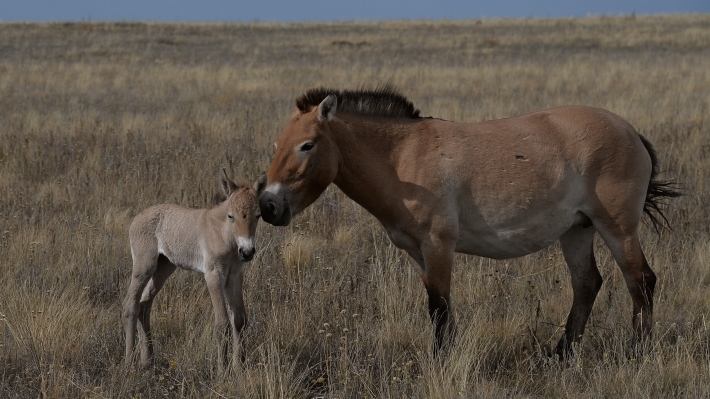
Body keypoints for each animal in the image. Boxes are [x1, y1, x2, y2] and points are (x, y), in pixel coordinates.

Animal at [122, 170, 268, 370]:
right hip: (144, 266)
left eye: (258, 215)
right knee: (131, 304)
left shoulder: (235, 275)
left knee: (144, 303)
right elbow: (222, 324)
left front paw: (239, 367)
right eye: (231, 216)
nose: (246, 252)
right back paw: (129, 363)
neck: (223, 234)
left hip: (164, 267)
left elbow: (239, 320)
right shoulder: (213, 274)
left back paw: (148, 360)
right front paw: (222, 370)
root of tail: (137, 217)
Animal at [258, 86, 680, 358]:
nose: (268, 206)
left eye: (307, 145)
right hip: (578, 230)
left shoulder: (438, 244)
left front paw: (440, 361)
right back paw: (559, 356)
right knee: (587, 285)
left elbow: (439, 306)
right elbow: (439, 305)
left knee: (641, 282)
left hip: (618, 229)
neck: (401, 158)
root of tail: (631, 131)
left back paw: (637, 354)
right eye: (276, 145)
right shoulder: (417, 251)